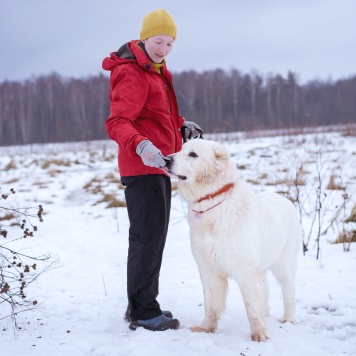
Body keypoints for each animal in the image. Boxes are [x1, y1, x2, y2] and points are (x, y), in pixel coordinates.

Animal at [166, 138, 300, 340]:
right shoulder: (208, 268)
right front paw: (205, 328)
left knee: (288, 289)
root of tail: (286, 200)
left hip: (283, 263)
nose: (166, 159)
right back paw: (266, 311)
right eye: (181, 149)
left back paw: (289, 318)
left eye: (193, 154)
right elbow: (211, 304)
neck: (212, 200)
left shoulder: (246, 269)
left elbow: (251, 305)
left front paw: (259, 332)